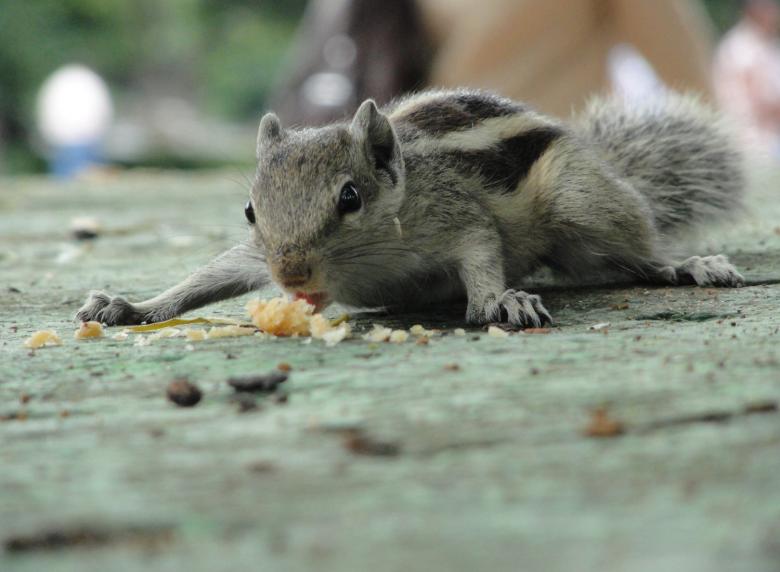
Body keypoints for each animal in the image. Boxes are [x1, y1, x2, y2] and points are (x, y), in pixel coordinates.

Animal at [77, 88, 745, 328]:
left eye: (350, 197)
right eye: (249, 210)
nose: (291, 275)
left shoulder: (455, 217)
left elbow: (482, 251)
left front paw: (500, 301)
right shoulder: (252, 255)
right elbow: (203, 280)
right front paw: (128, 306)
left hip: (581, 203)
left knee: (635, 253)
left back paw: (686, 266)